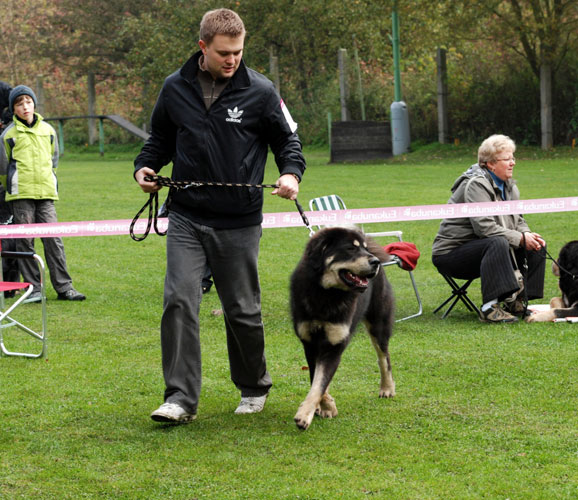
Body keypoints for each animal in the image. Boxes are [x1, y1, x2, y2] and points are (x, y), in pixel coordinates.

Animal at [290, 227, 394, 430]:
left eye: (363, 249)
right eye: (350, 248)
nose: (375, 262)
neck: (326, 294)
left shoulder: (334, 345)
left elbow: (320, 383)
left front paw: (305, 414)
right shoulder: (310, 343)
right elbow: (318, 380)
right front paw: (325, 405)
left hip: (378, 325)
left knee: (383, 358)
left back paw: (387, 388)